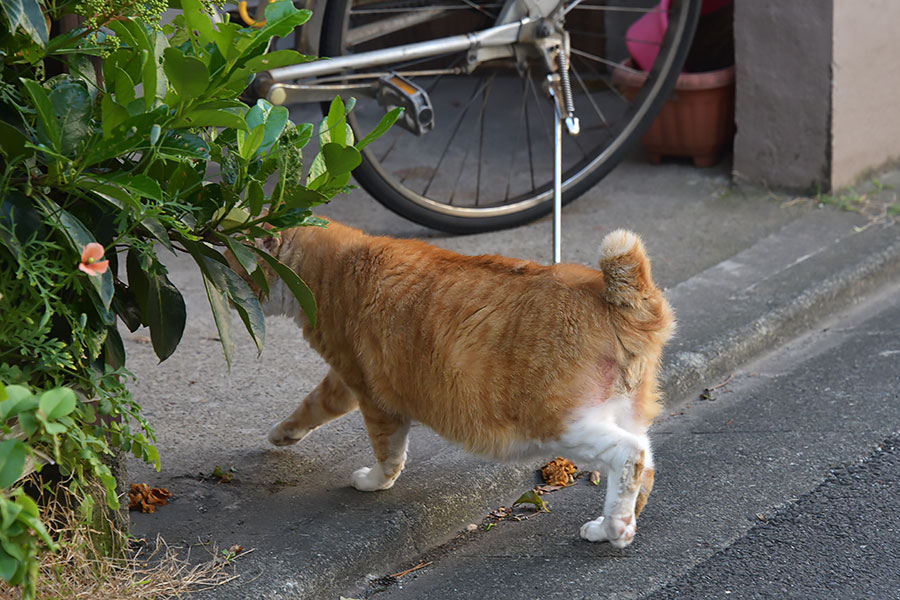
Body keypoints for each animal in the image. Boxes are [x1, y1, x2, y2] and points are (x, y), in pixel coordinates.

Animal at [236, 220, 672, 548]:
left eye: (235, 263)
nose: (228, 295)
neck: (335, 268)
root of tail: (617, 298)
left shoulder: (370, 393)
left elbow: (387, 452)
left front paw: (374, 482)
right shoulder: (345, 380)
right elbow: (313, 405)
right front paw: (282, 434)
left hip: (561, 424)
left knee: (630, 456)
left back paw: (616, 528)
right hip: (622, 414)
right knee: (647, 464)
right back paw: (613, 526)